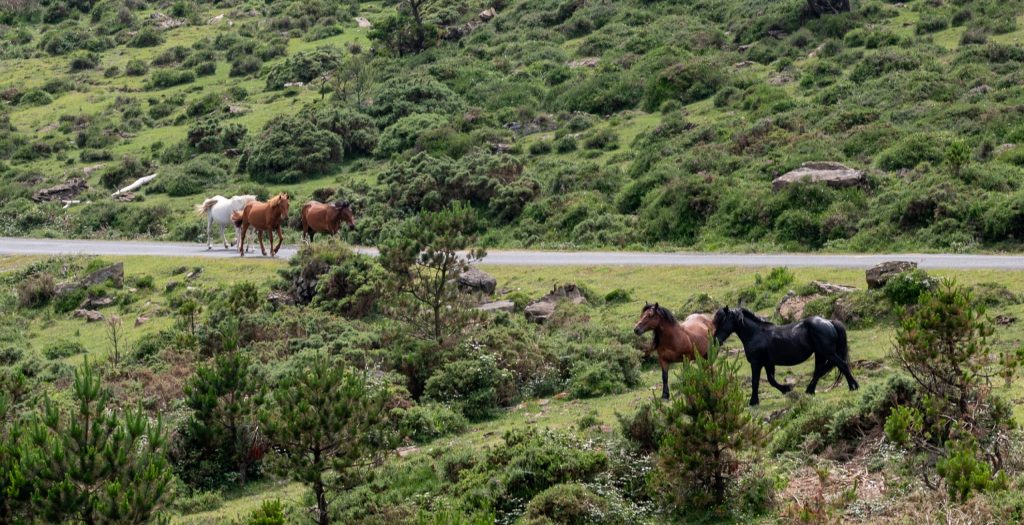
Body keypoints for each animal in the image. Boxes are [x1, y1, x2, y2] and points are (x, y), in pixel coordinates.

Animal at [712, 306, 859, 406]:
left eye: (722, 321)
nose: (715, 341)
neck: (756, 333)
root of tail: (829, 322)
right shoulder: (768, 363)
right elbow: (771, 380)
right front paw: (786, 389)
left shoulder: (756, 363)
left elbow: (755, 382)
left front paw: (753, 402)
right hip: (821, 354)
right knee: (819, 371)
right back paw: (809, 391)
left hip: (828, 353)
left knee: (842, 365)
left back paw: (853, 386)